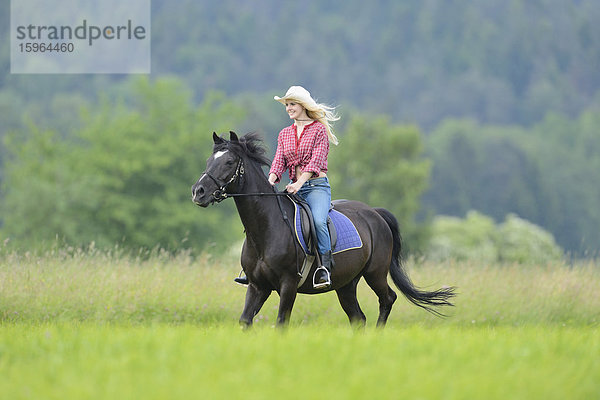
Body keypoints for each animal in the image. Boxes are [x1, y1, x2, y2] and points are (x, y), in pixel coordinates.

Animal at [192, 133, 454, 326]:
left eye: (228, 162)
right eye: (208, 162)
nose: (198, 192)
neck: (266, 229)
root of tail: (374, 213)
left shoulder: (288, 285)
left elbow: (281, 323)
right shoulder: (258, 286)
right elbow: (245, 321)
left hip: (376, 273)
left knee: (387, 299)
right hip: (346, 284)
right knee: (358, 318)